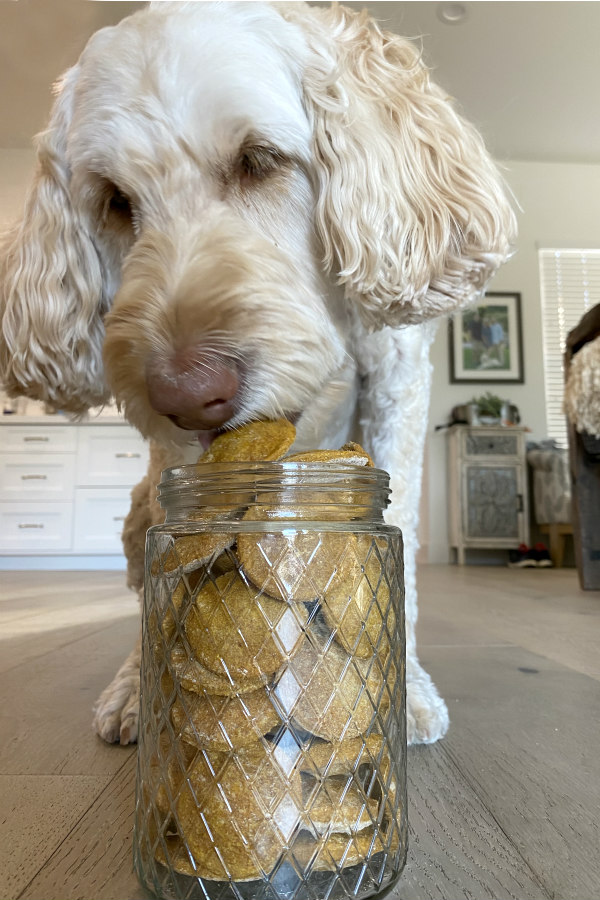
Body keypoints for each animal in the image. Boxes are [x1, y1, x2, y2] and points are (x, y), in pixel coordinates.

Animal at [1, 1, 516, 744]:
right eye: (114, 200)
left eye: (258, 160)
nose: (188, 396)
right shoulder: (178, 457)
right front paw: (147, 687)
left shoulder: (397, 380)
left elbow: (403, 538)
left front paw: (407, 686)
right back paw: (130, 680)